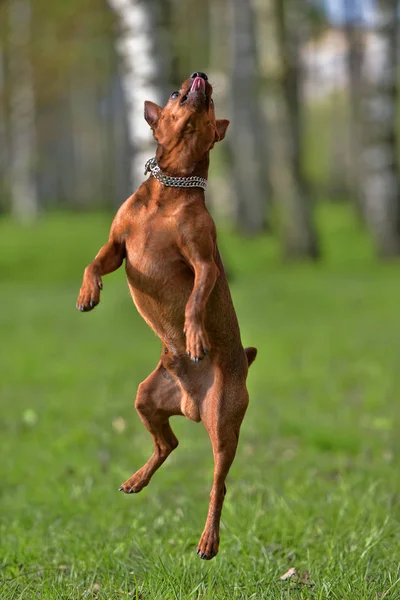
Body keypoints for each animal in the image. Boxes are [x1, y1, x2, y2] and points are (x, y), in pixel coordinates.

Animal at [76, 72, 258, 560]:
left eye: (210, 101)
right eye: (177, 94)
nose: (201, 76)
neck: (170, 189)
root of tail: (191, 405)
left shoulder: (204, 264)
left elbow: (195, 301)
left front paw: (195, 335)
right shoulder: (117, 248)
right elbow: (93, 264)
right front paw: (88, 293)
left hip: (224, 424)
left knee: (218, 484)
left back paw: (208, 540)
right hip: (146, 397)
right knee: (169, 442)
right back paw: (136, 480)